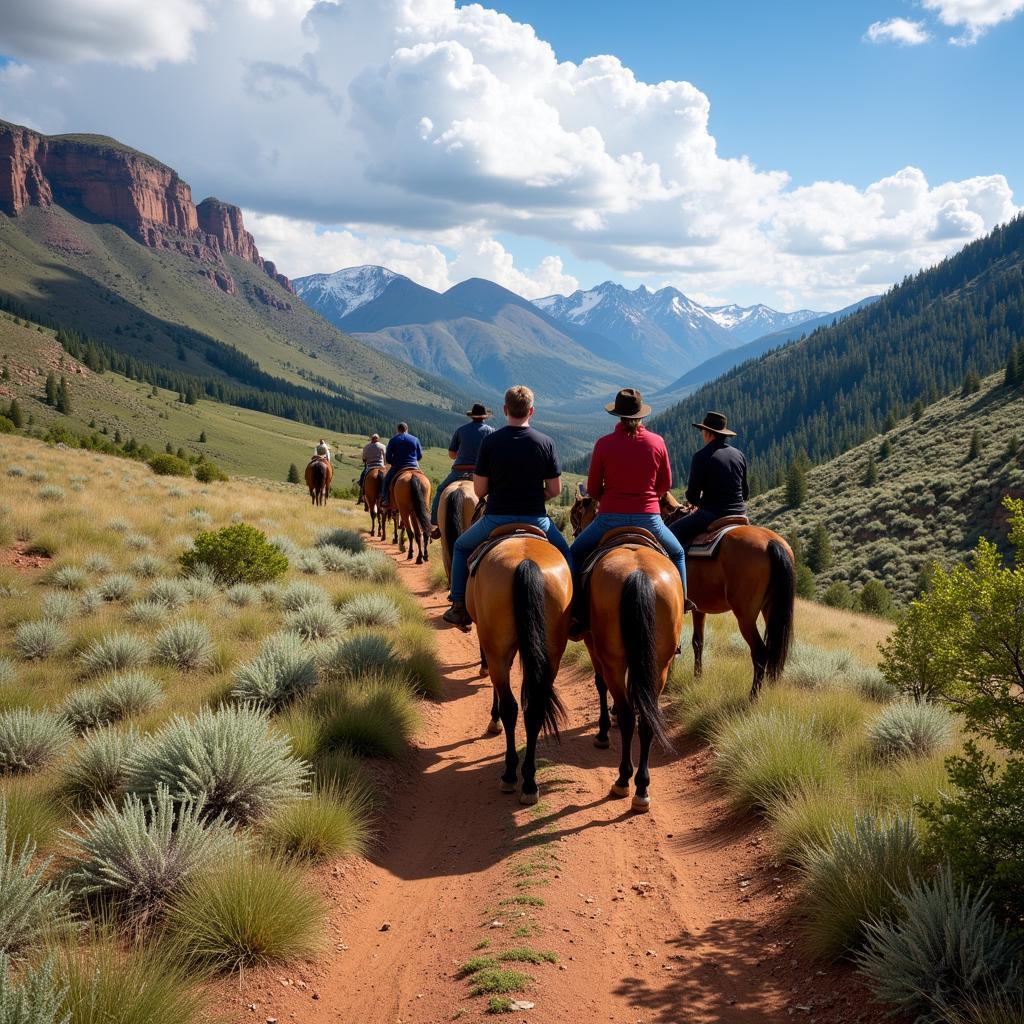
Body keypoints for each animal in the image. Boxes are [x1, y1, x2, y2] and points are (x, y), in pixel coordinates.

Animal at [468, 532, 573, 802]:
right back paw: (529, 782)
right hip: (551, 655)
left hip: (498, 650)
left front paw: (493, 720)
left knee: (511, 707)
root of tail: (526, 564)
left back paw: (509, 774)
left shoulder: (491, 644)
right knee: (534, 710)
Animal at [573, 491, 794, 700]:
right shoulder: (698, 608)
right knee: (775, 649)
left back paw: (753, 696)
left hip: (745, 615)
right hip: (771, 609)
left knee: (760, 652)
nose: (576, 533)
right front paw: (697, 676)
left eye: (575, 514)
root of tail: (771, 542)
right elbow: (698, 641)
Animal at [581, 536, 684, 815]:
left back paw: (623, 779)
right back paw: (642, 789)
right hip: (659, 664)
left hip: (614, 661)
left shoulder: (593, 646)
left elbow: (600, 685)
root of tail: (639, 575)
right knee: (646, 720)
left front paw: (604, 731)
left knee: (629, 716)